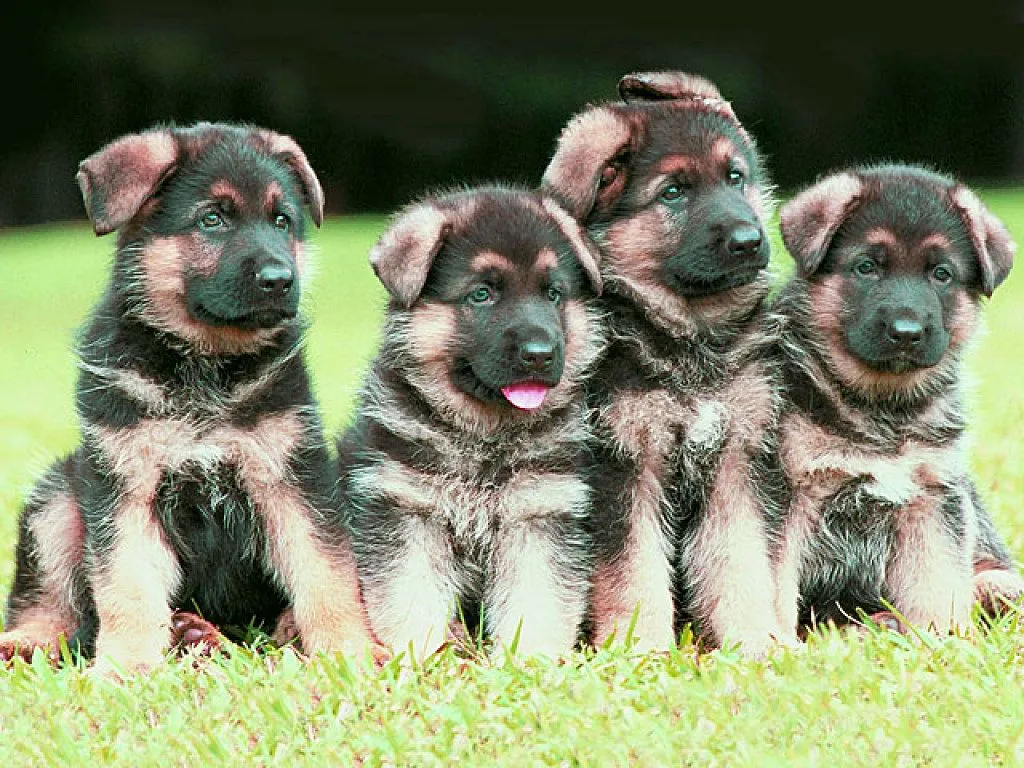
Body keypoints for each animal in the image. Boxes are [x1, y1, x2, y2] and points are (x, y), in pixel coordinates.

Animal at [335, 185, 606, 663]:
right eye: (481, 295)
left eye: (553, 294)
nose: (539, 355)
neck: (483, 436)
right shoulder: (407, 511)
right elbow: (411, 596)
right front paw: (420, 657)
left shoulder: (540, 515)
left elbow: (537, 600)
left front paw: (529, 663)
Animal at [770, 163, 1019, 643]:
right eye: (867, 267)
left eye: (941, 274)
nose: (906, 332)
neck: (881, 408)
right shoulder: (792, 493)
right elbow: (773, 581)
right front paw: (776, 643)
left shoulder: (934, 494)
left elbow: (937, 581)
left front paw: (938, 638)